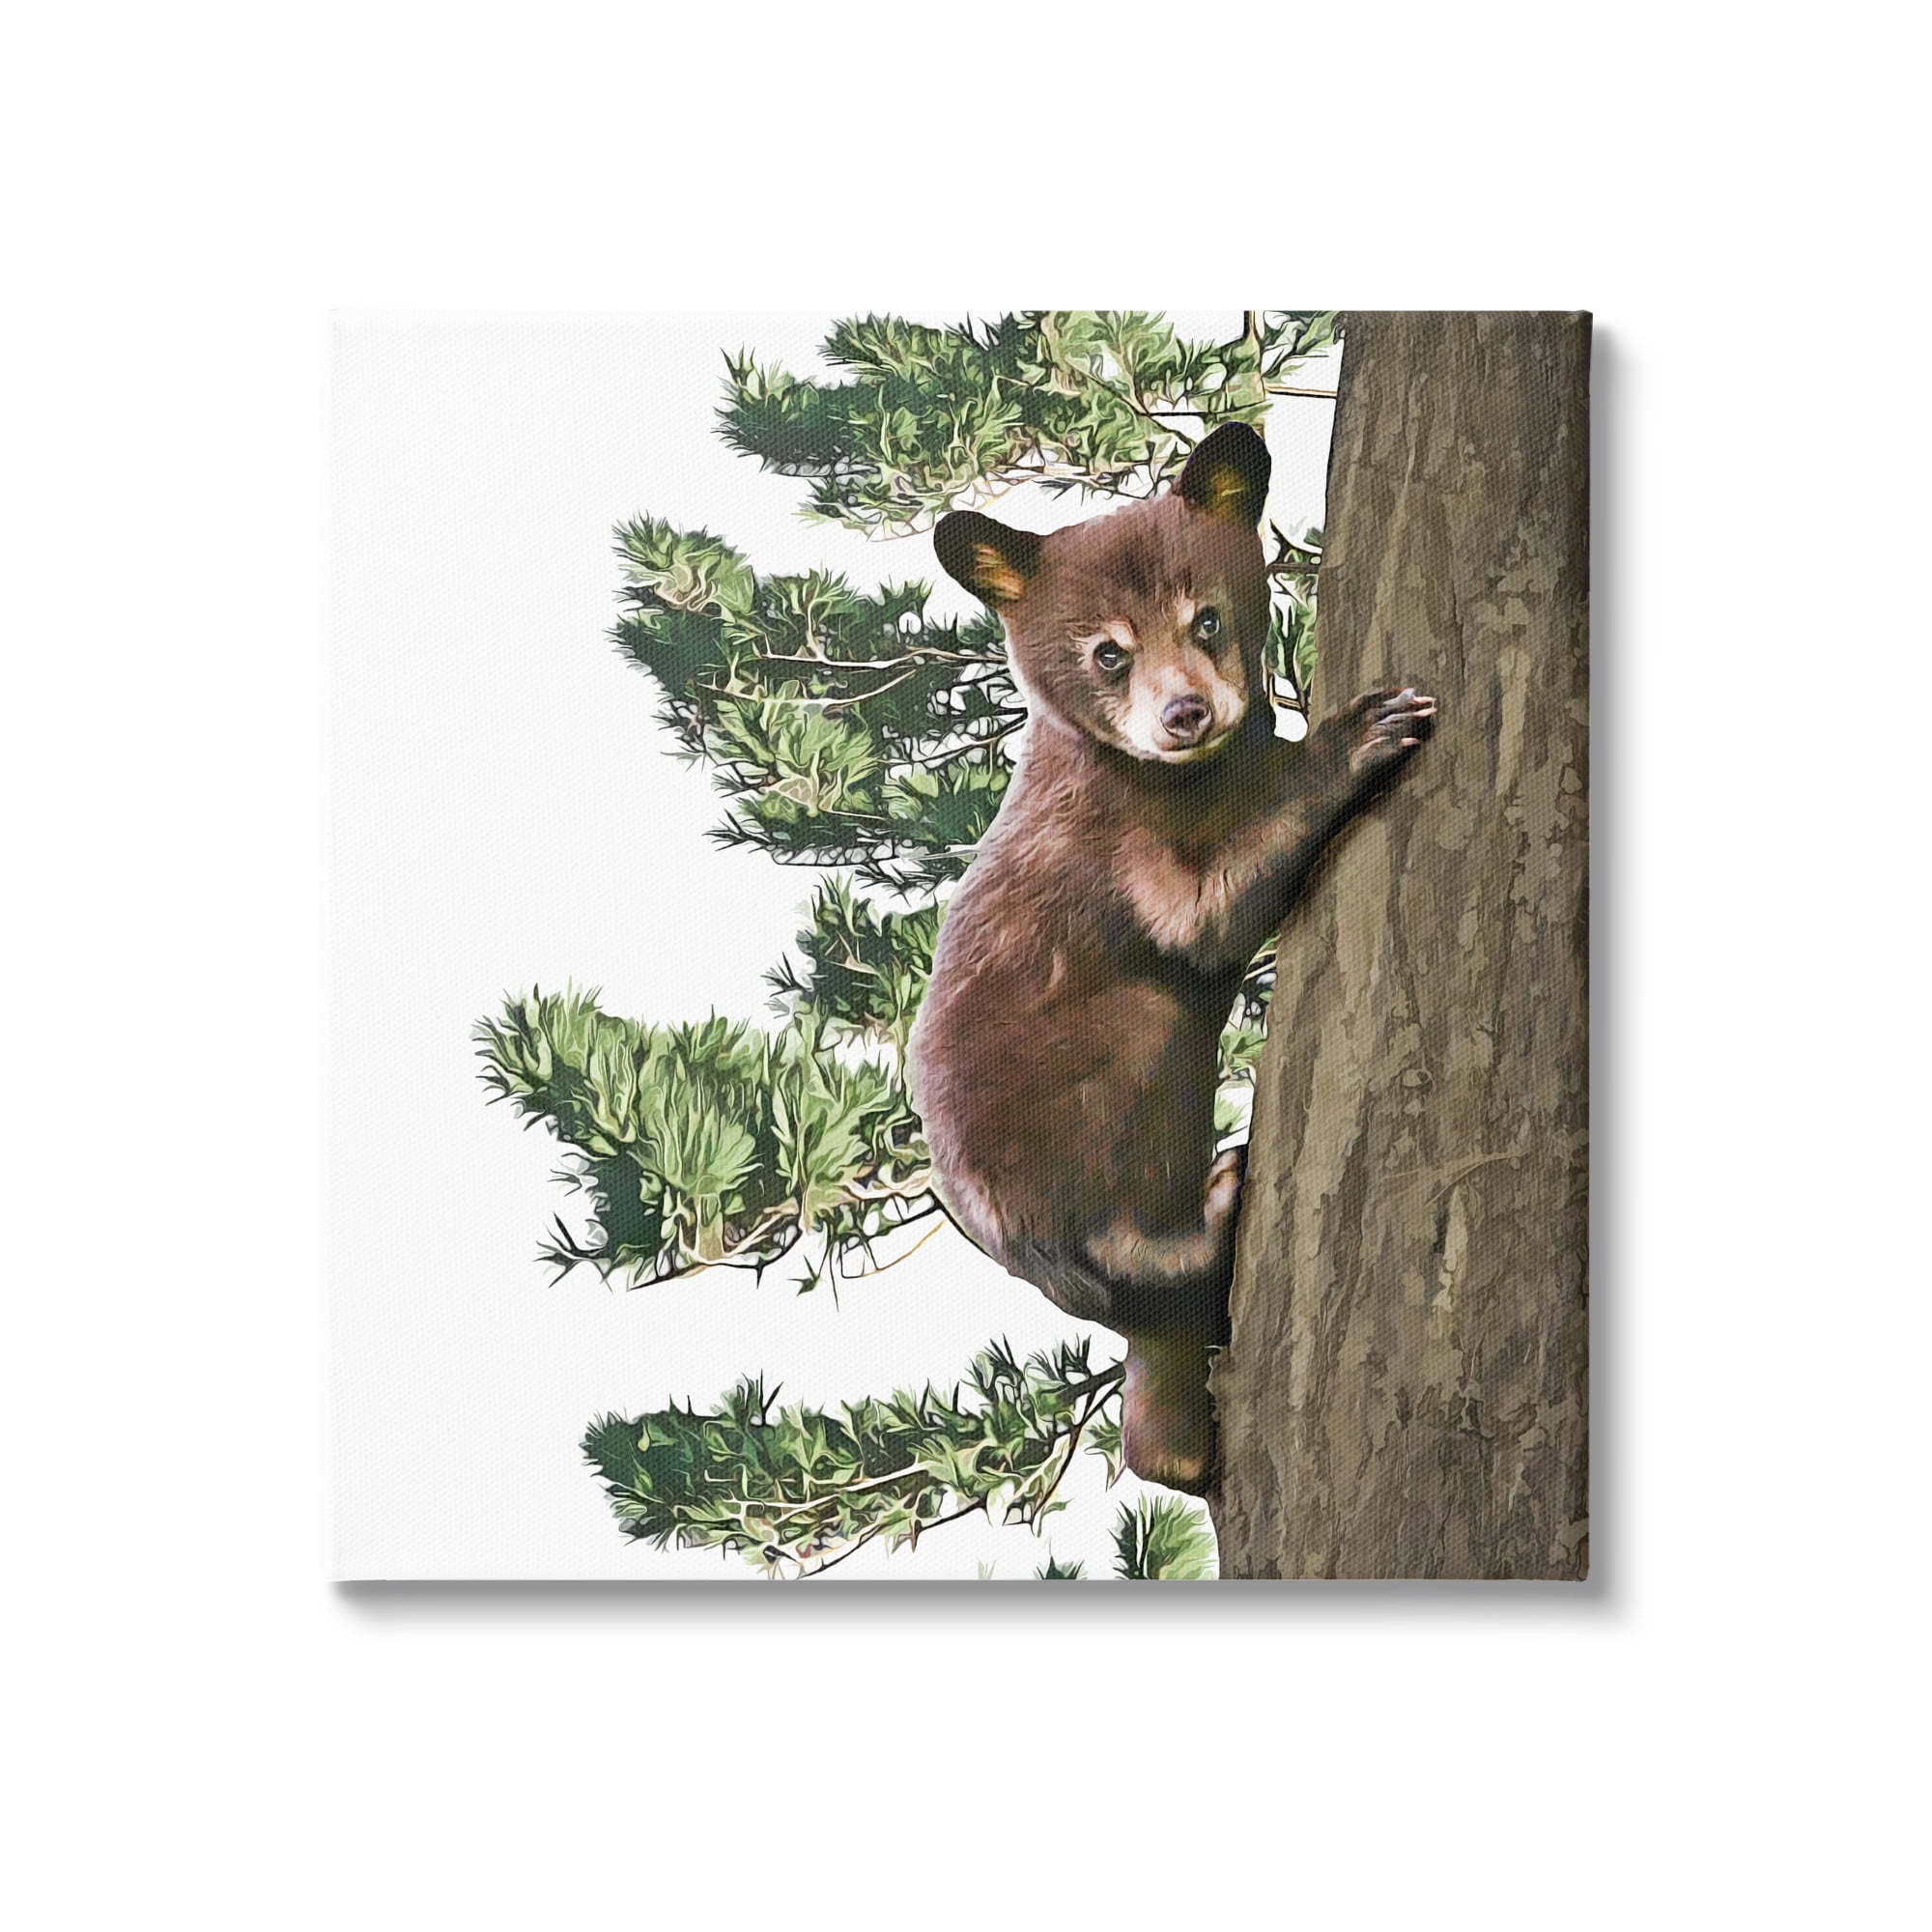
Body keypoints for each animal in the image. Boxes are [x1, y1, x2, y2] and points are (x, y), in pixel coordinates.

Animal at [907, 421, 1434, 1494]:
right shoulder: (1109, 840)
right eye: (1106, 653)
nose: (1184, 714)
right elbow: (1203, 917)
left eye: (1207, 619)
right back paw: (1214, 1210)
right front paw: (1360, 733)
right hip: (1069, 1113)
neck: (1188, 776)